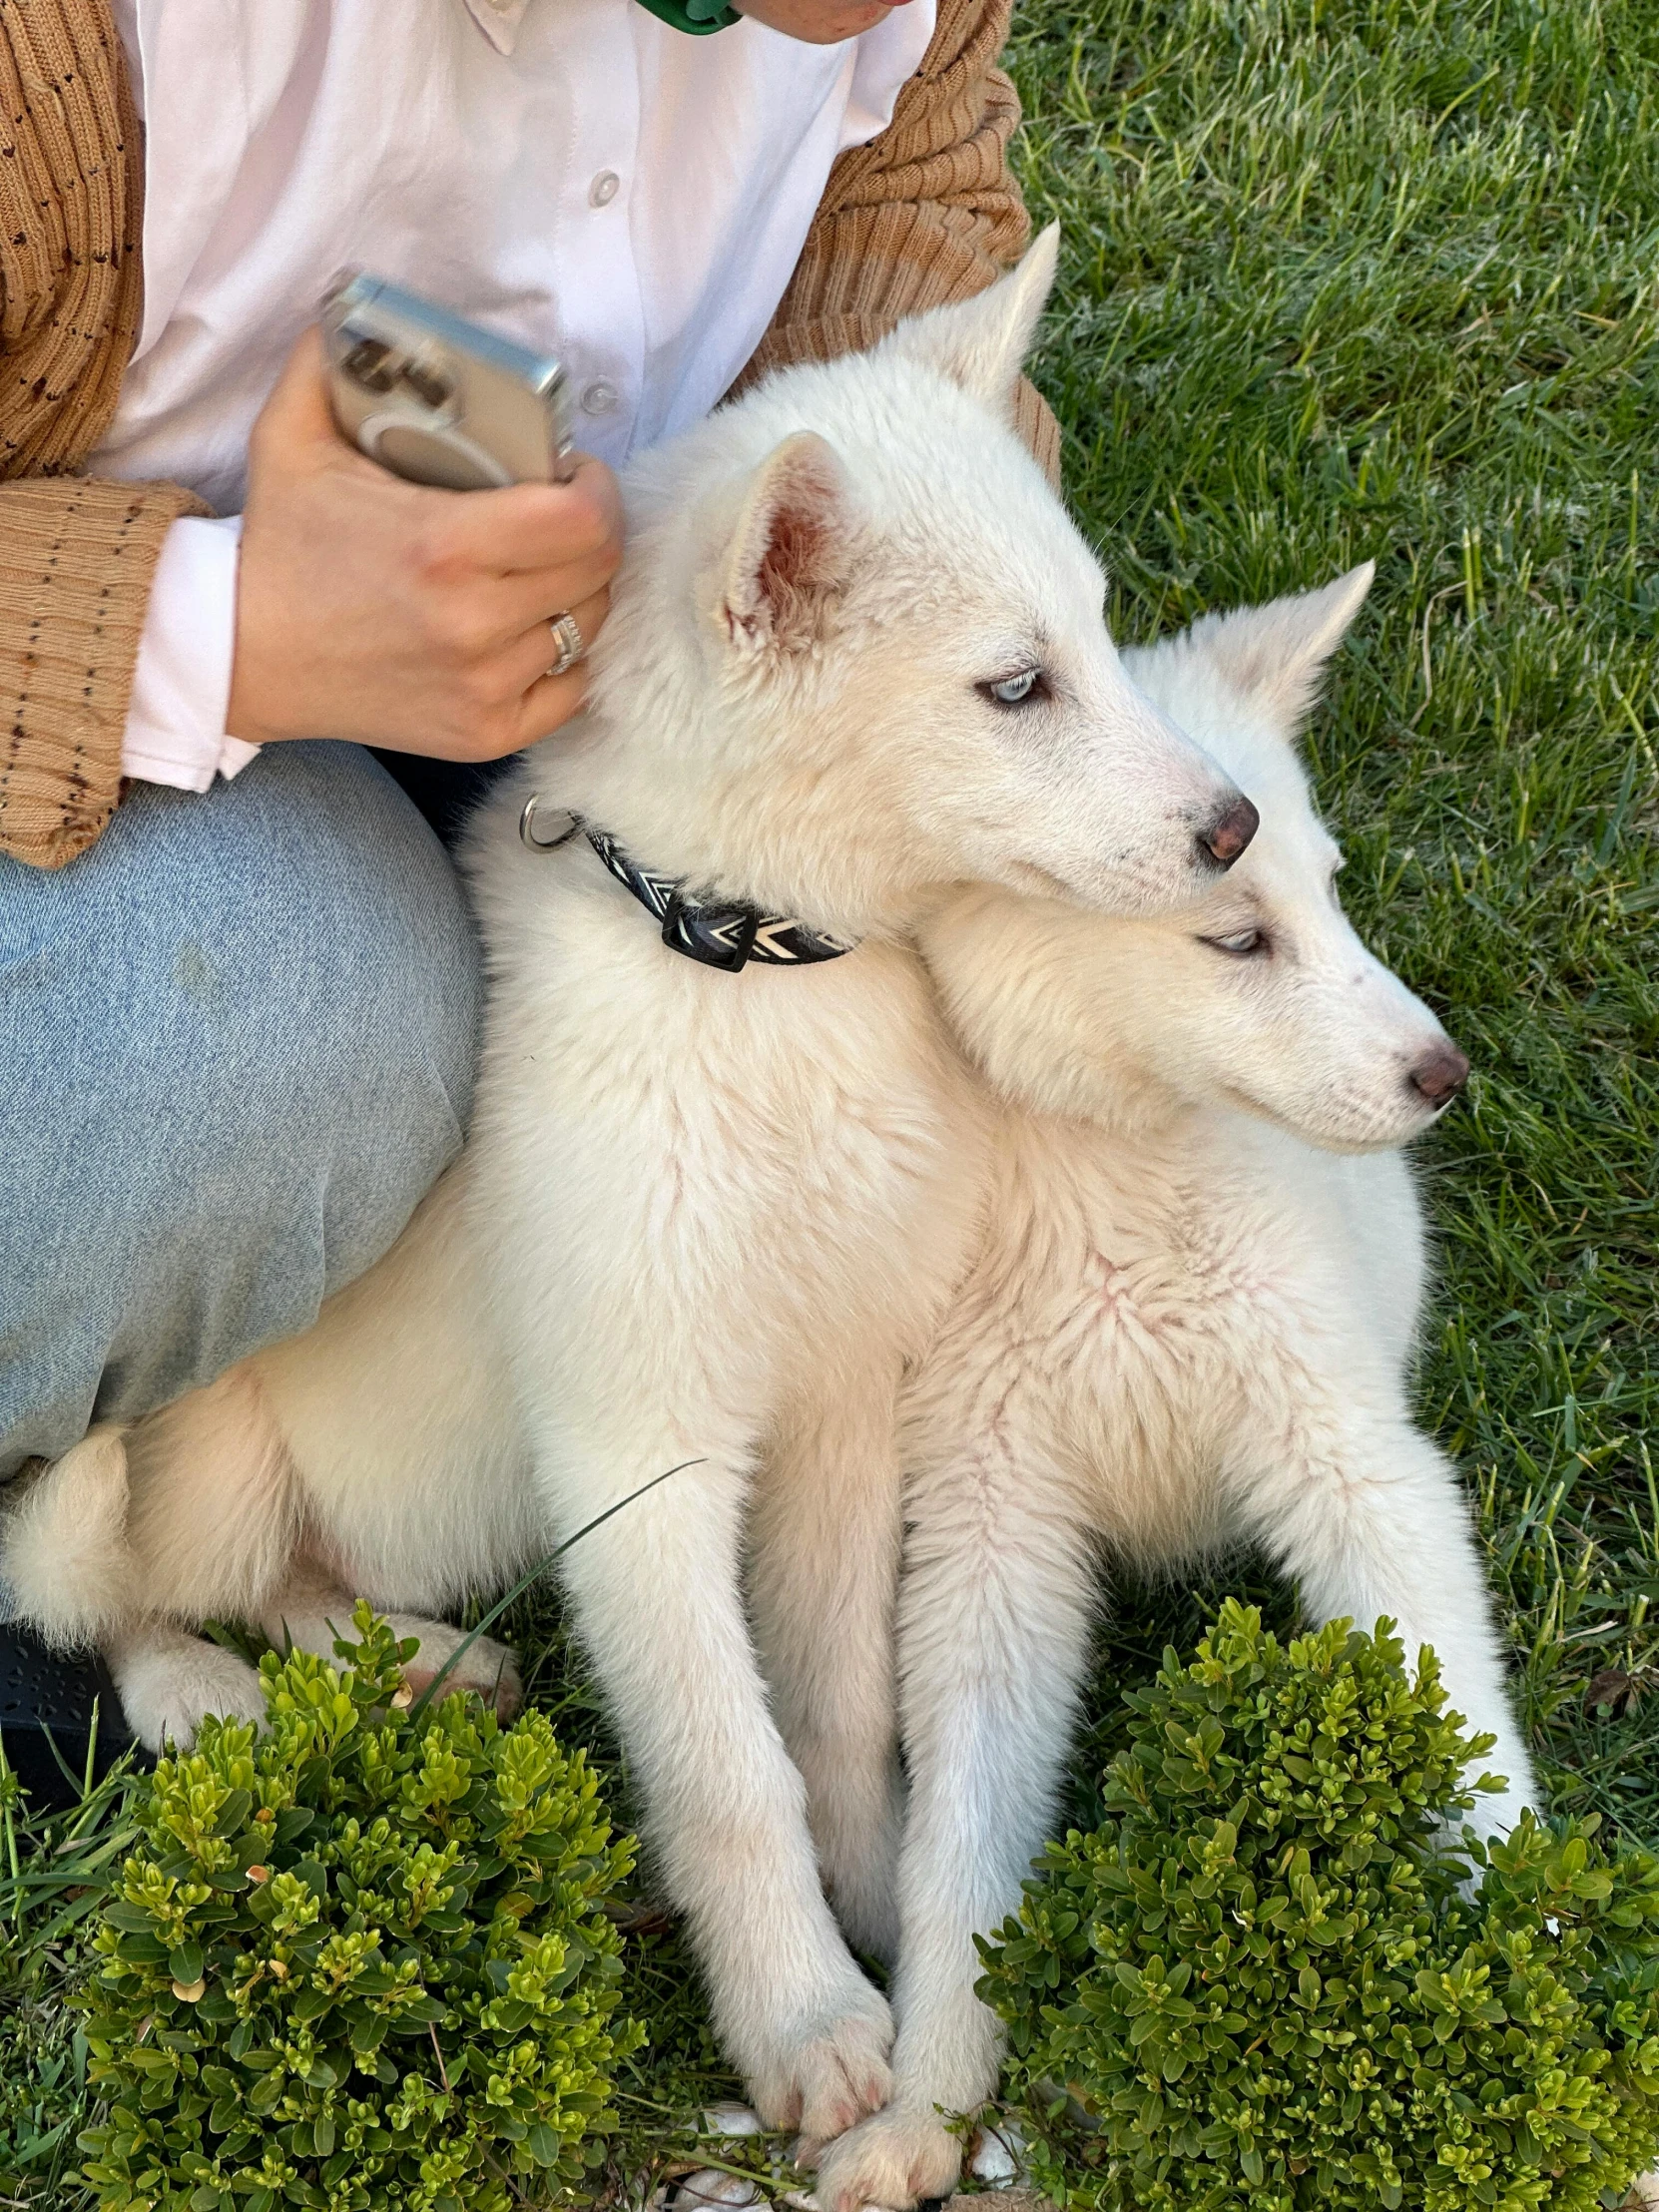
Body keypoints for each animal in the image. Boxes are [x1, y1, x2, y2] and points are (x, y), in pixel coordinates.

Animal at [0, 238, 1256, 2141]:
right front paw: (802, 2019)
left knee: (290, 1575)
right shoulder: (636, 1450)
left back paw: (418, 1655)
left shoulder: (836, 1405)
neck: (752, 971)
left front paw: (875, 1891)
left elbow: (830, 1712)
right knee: (120, 1581)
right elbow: (725, 1762)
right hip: (190, 1445)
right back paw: (209, 1683)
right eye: (1013, 688)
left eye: (1100, 640)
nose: (1233, 829)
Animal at [814, 557, 1548, 2212]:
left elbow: (1470, 1740)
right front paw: (925, 2109)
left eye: (1332, 891)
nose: (1442, 1078)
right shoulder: (988, 1541)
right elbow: (958, 1858)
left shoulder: (1355, 1466)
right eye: (1234, 940)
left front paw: (1543, 1982)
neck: (1111, 1176)